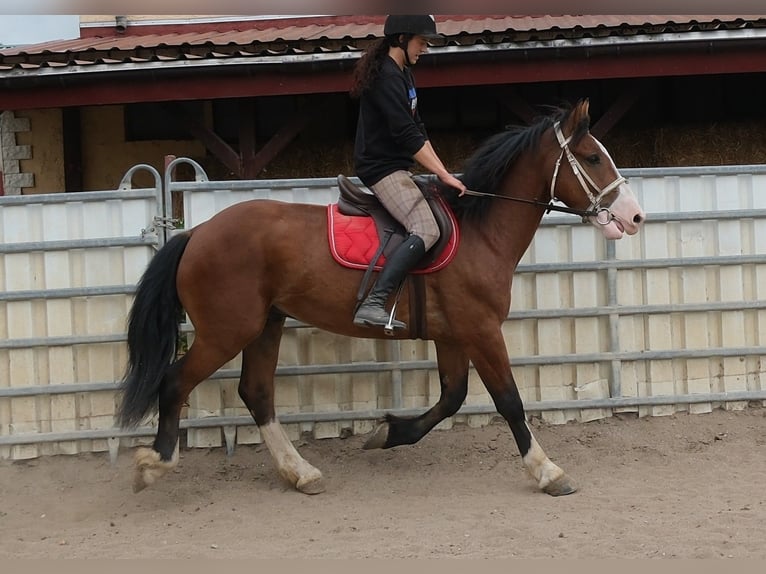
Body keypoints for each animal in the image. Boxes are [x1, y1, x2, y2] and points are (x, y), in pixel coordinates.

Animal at [116, 98, 645, 496]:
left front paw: (388, 433)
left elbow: (452, 397)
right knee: (175, 383)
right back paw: (153, 464)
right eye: (593, 158)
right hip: (229, 330)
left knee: (257, 392)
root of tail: (197, 233)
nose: (635, 216)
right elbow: (509, 400)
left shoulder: (454, 334)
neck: (479, 230)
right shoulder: (481, 330)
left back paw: (299, 473)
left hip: (266, 324)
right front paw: (548, 470)